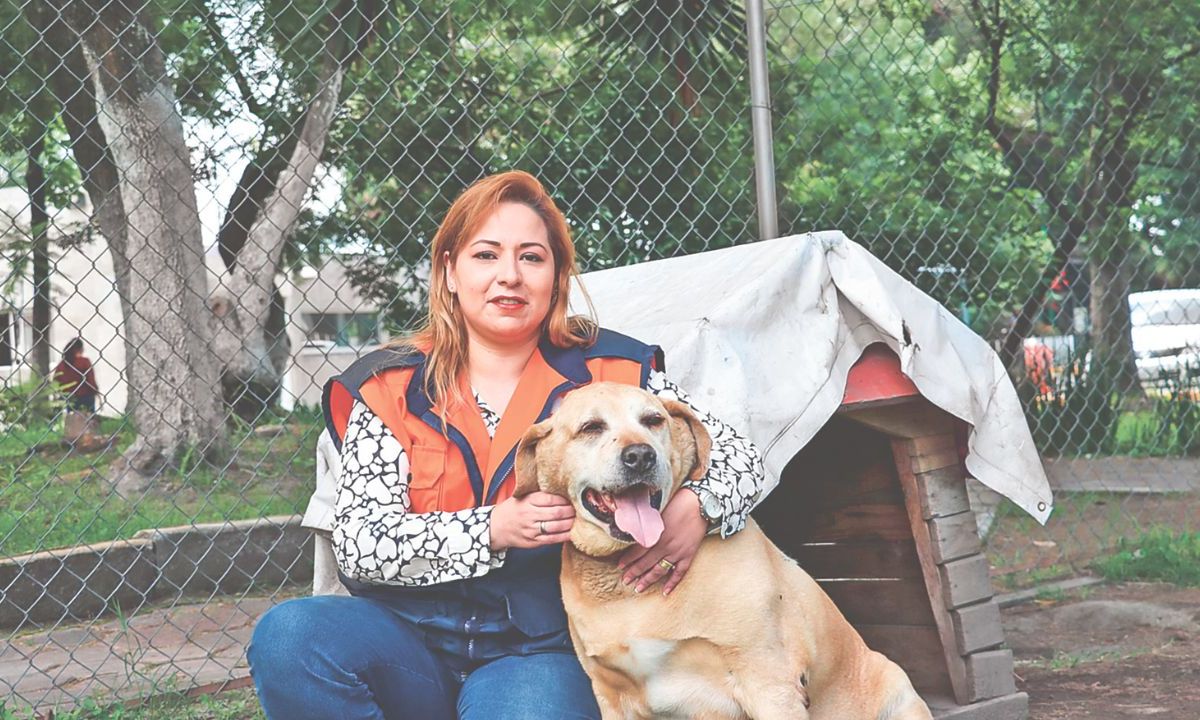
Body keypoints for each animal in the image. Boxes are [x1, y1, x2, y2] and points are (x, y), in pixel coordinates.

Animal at [511, 379, 931, 715]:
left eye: (653, 420)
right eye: (591, 427)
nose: (640, 456)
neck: (630, 592)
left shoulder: (770, 681)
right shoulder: (612, 698)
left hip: (897, 688)